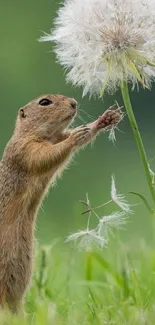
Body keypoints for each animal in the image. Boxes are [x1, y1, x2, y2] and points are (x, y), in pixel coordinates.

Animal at [0, 94, 121, 312]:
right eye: (44, 102)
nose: (74, 103)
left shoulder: (55, 138)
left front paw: (102, 121)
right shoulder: (25, 149)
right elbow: (46, 155)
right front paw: (77, 136)